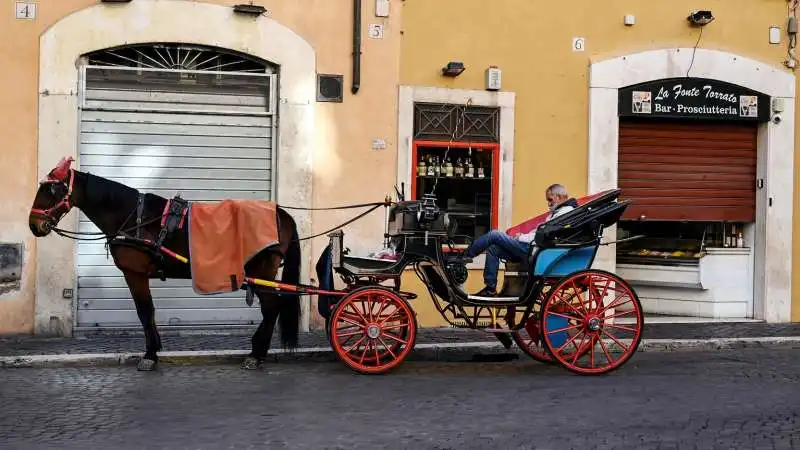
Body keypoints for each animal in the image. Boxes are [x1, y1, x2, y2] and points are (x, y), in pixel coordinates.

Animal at [28, 156, 300, 370]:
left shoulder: (134, 274)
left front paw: (150, 354)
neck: (133, 218)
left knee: (271, 308)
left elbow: (145, 311)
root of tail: (282, 214)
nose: (34, 224)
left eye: (51, 190)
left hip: (262, 270)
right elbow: (147, 312)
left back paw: (257, 354)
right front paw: (154, 350)